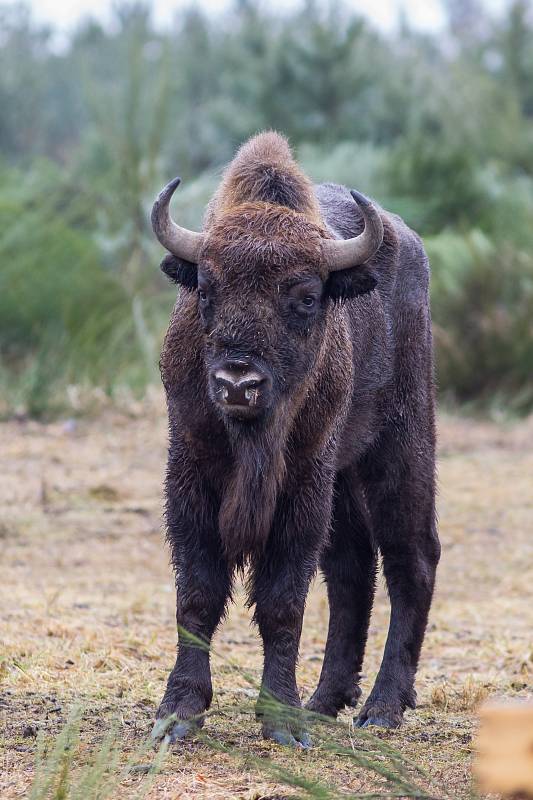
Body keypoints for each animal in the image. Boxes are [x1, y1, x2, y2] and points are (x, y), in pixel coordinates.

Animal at [150, 128, 440, 748]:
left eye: (306, 297)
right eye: (205, 290)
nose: (238, 383)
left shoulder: (302, 482)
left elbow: (283, 601)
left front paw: (281, 722)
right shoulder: (189, 472)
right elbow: (198, 595)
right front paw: (178, 713)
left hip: (400, 447)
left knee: (411, 558)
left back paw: (382, 707)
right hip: (345, 476)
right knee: (353, 569)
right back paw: (326, 700)